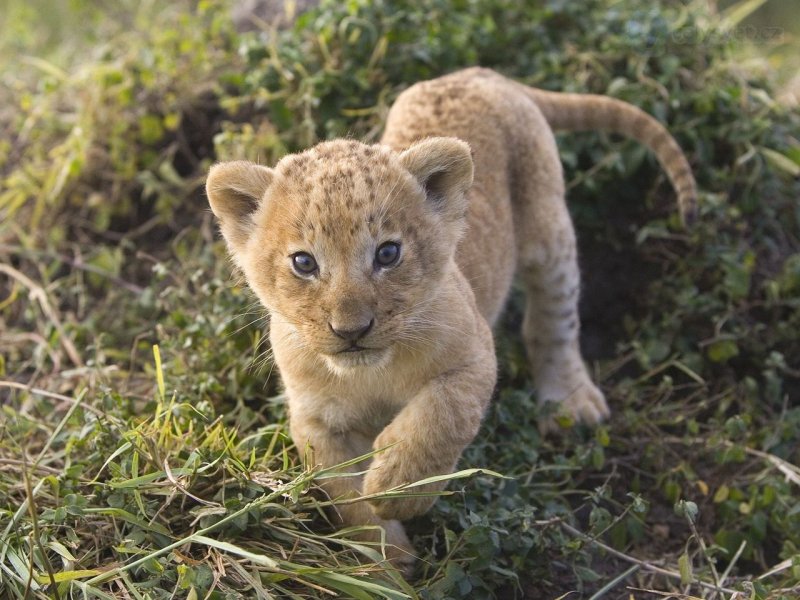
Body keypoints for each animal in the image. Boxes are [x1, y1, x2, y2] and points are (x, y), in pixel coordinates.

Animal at [205, 67, 696, 573]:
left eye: (388, 254)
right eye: (304, 263)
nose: (351, 331)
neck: (370, 374)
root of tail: (479, 74)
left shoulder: (474, 356)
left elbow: (441, 416)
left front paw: (397, 488)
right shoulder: (316, 421)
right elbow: (346, 498)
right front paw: (388, 563)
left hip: (548, 231)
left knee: (554, 320)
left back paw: (571, 402)